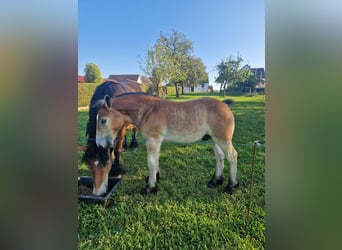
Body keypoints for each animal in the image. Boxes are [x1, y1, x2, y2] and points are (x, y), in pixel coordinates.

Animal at [93, 94, 238, 195]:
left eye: (103, 120)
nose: (99, 144)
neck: (148, 111)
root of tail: (224, 104)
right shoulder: (156, 142)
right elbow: (156, 160)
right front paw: (155, 179)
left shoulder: (153, 140)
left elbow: (151, 163)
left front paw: (150, 187)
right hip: (212, 140)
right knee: (220, 157)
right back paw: (215, 181)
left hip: (223, 140)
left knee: (232, 156)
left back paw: (231, 186)